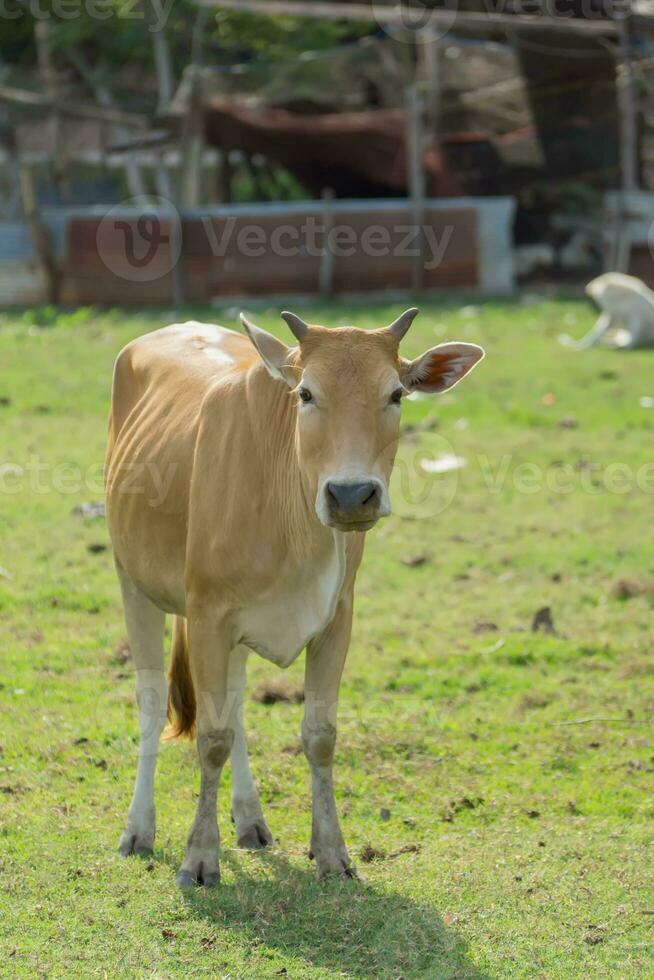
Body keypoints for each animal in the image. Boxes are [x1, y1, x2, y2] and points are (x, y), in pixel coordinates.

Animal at [106, 308, 486, 888]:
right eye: (306, 393)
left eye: (396, 393)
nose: (351, 495)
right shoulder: (209, 615)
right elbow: (210, 738)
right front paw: (199, 858)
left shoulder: (336, 618)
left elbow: (318, 734)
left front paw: (332, 851)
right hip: (134, 583)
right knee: (152, 700)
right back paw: (138, 829)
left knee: (236, 700)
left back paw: (250, 820)